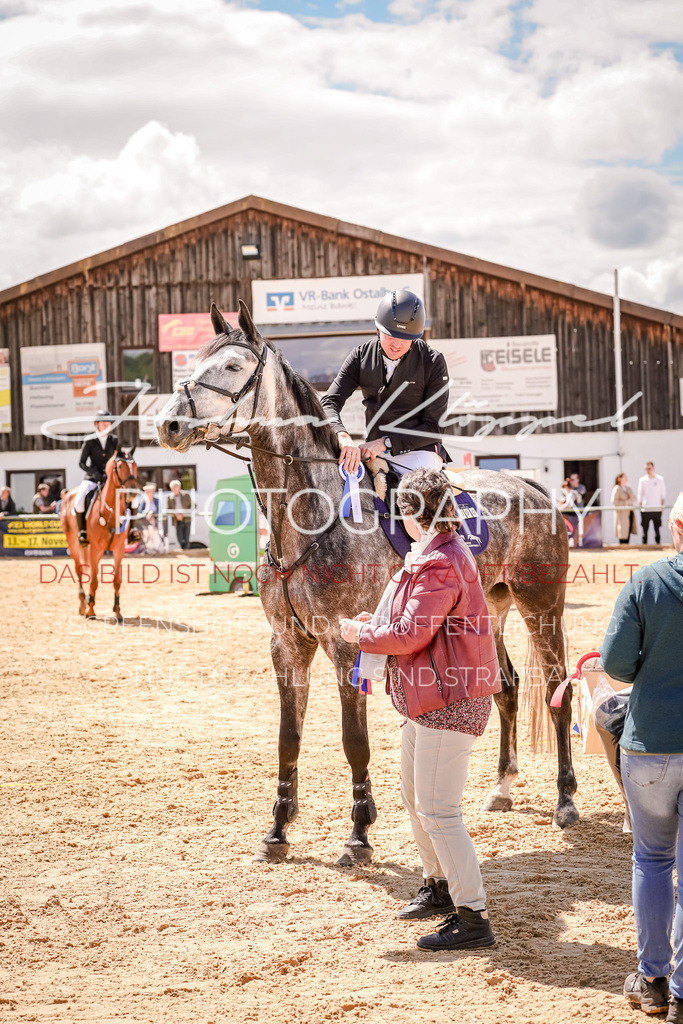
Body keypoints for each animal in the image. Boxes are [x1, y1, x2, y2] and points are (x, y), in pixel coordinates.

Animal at [59, 454, 137, 614]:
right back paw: (83, 604)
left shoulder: (119, 549)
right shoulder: (96, 549)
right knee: (79, 570)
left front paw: (117, 610)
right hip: (73, 542)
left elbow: (117, 581)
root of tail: (68, 495)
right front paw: (90, 611)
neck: (110, 512)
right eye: (120, 467)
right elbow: (94, 581)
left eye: (136, 466)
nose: (132, 492)